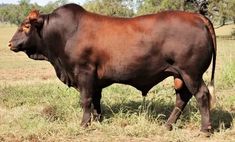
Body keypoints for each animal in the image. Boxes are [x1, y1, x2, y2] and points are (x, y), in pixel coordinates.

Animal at [7, 3, 217, 134]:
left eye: (26, 26)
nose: (9, 43)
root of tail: (197, 17)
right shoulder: (95, 80)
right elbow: (96, 101)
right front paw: (97, 120)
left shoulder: (84, 72)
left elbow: (85, 100)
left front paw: (84, 124)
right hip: (179, 75)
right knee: (182, 98)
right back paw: (167, 125)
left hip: (191, 73)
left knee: (202, 95)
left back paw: (205, 129)